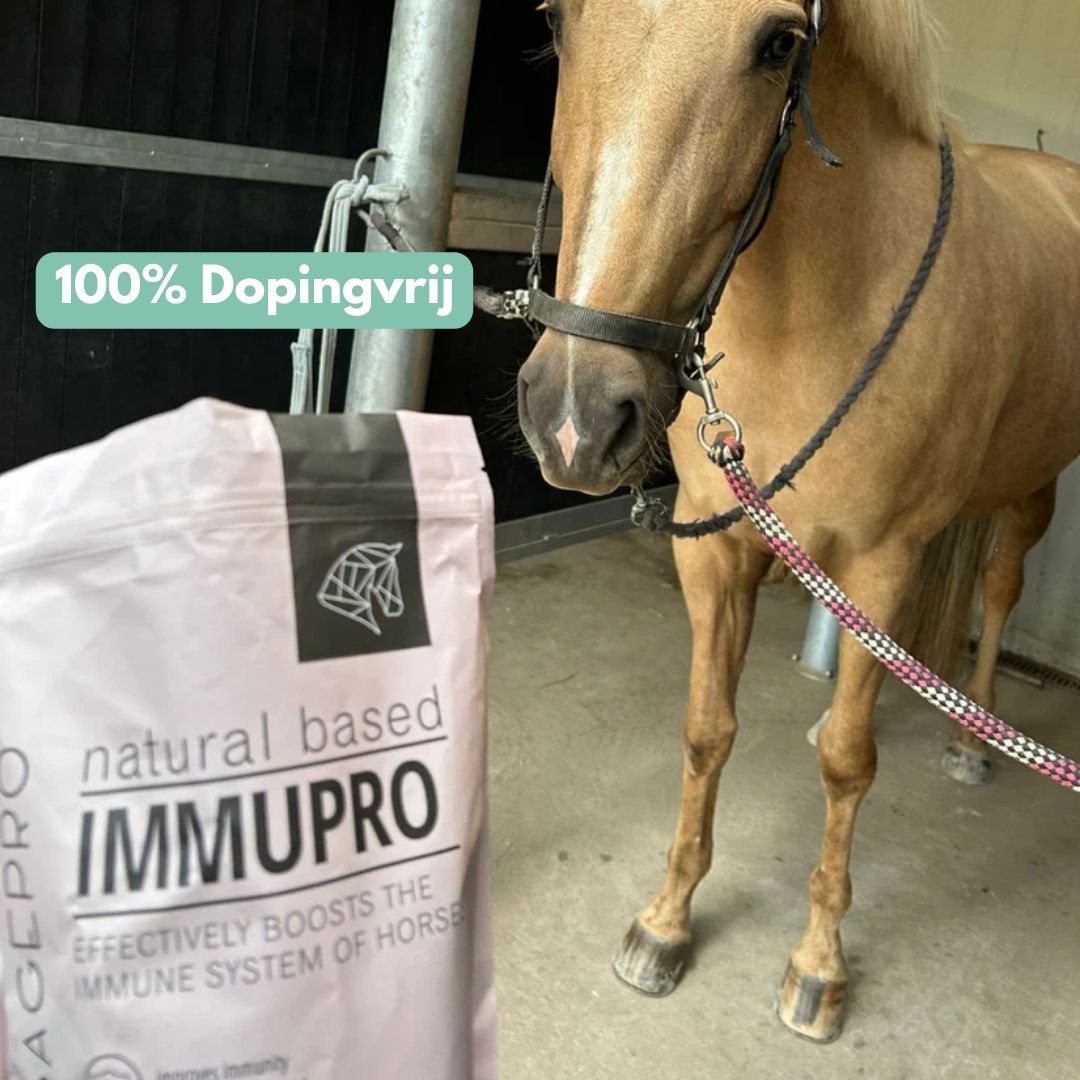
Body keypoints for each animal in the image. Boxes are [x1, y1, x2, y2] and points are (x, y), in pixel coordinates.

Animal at [514, 0, 1080, 1042]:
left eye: (778, 43)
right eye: (557, 22)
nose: (575, 416)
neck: (817, 311)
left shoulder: (883, 566)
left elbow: (848, 763)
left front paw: (819, 966)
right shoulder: (719, 549)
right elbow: (708, 730)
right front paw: (666, 923)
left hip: (1033, 487)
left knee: (1000, 587)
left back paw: (973, 743)